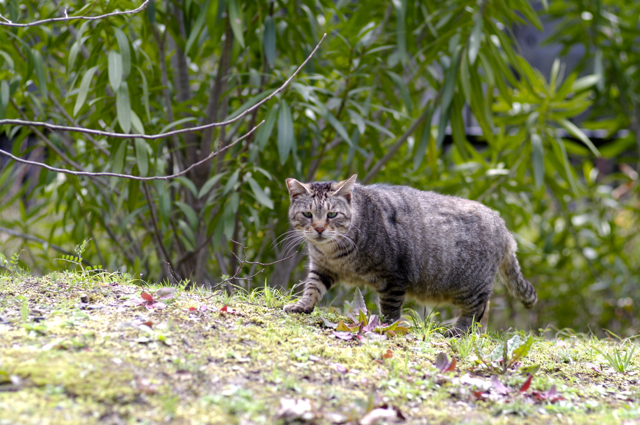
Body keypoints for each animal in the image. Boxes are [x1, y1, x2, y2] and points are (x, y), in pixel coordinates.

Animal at [282, 174, 537, 336]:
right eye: (307, 214)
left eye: (332, 215)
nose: (319, 229)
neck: (335, 252)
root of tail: (502, 225)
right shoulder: (321, 268)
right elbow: (312, 288)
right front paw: (302, 306)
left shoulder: (393, 277)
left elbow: (390, 309)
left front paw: (386, 327)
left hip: (470, 286)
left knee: (477, 309)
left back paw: (458, 331)